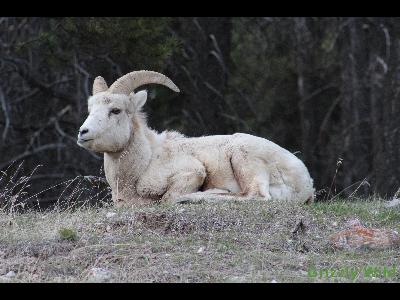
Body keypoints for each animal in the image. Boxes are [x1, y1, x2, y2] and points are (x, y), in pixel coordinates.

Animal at [77, 71, 316, 205]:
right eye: (90, 109)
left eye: (115, 110)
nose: (83, 132)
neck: (145, 162)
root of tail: (306, 182)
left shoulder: (192, 172)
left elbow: (168, 198)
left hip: (244, 159)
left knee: (254, 196)